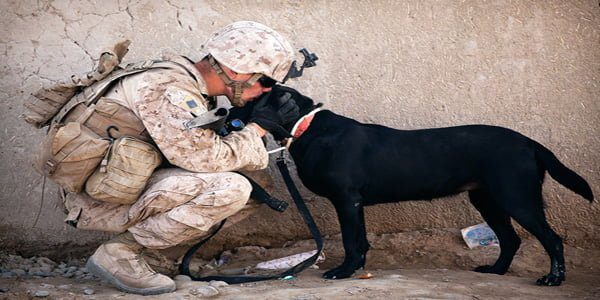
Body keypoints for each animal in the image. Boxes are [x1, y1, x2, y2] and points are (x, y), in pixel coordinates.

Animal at [229, 85, 592, 286]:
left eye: (251, 99)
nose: (224, 110)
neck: (307, 126)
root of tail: (529, 142)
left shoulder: (346, 201)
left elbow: (350, 241)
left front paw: (343, 272)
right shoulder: (355, 203)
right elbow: (361, 241)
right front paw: (357, 269)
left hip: (517, 198)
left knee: (551, 239)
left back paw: (553, 279)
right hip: (487, 199)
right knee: (511, 240)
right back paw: (496, 270)